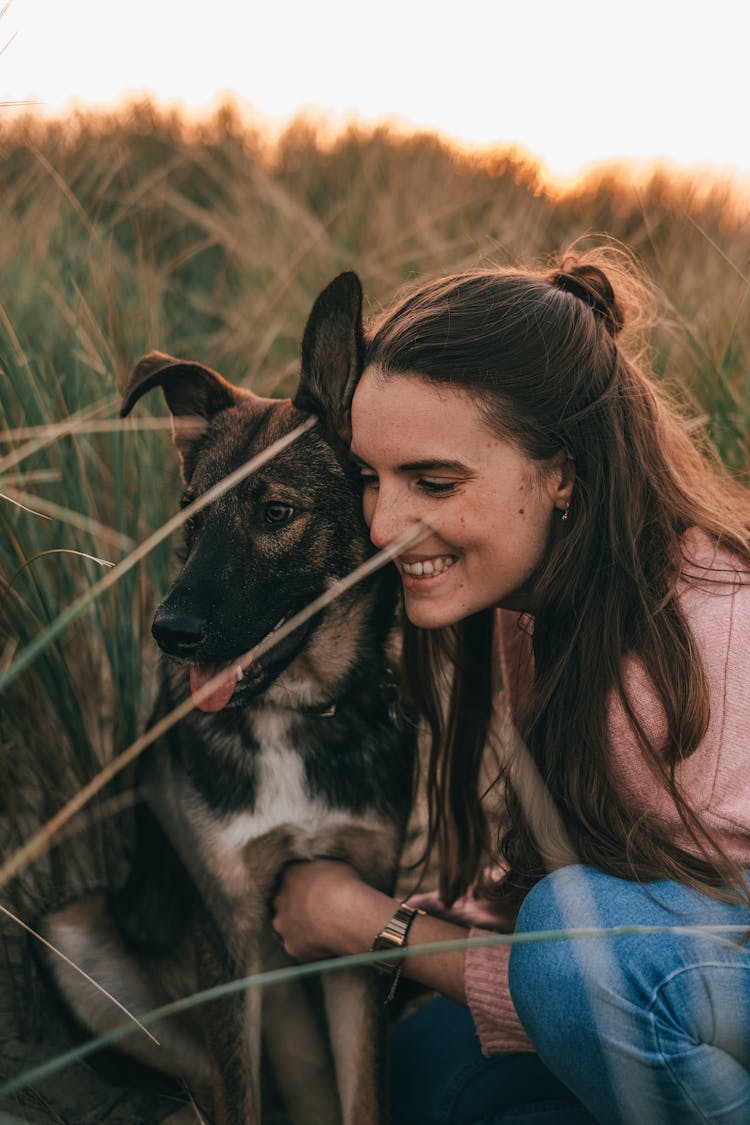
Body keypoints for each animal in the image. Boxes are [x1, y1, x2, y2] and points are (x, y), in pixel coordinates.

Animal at [42, 274, 416, 1125]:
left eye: (276, 512)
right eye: (191, 512)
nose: (170, 633)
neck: (296, 715)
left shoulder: (349, 923)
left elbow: (366, 1096)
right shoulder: (229, 933)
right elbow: (238, 1091)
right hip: (72, 933)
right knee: (207, 1084)